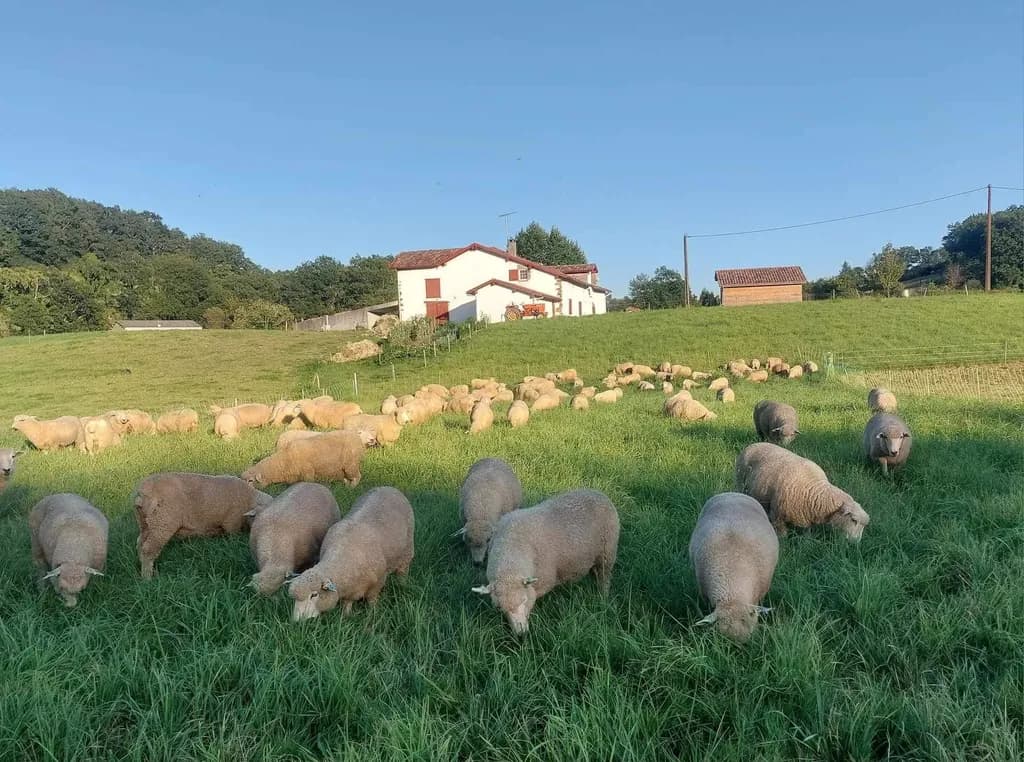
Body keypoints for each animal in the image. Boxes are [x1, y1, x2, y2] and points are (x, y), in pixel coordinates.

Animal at [133, 473, 274, 579]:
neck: (249, 498)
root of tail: (141, 493)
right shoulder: (232, 522)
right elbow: (233, 536)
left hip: (146, 524)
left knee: (140, 543)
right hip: (162, 523)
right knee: (148, 549)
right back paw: (147, 577)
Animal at [289, 486, 414, 620]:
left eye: (314, 595)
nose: (296, 620)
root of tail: (389, 488)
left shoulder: (378, 582)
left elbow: (372, 600)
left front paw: (373, 613)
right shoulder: (351, 586)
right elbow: (347, 602)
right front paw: (346, 616)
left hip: (407, 551)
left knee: (403, 571)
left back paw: (402, 585)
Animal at [472, 489, 619, 636]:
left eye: (524, 600)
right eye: (500, 608)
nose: (521, 634)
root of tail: (598, 493)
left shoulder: (543, 582)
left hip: (607, 553)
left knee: (604, 578)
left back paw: (602, 598)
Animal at [735, 442, 869, 541]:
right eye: (854, 520)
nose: (856, 543)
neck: (814, 490)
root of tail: (753, 444)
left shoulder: (808, 516)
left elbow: (807, 532)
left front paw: (807, 541)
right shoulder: (777, 515)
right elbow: (782, 534)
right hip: (740, 483)